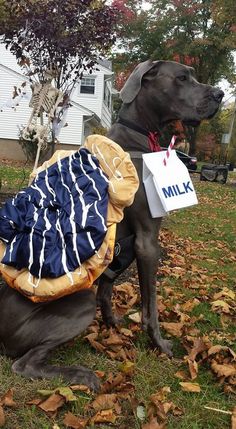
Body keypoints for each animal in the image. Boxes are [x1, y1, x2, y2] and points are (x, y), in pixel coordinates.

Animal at [0, 58, 223, 390]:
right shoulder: (147, 240)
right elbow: (150, 306)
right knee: (24, 364)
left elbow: (106, 288)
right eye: (182, 78)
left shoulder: (123, 246)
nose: (220, 94)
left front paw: (112, 325)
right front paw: (160, 344)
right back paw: (80, 374)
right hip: (80, 303)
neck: (138, 137)